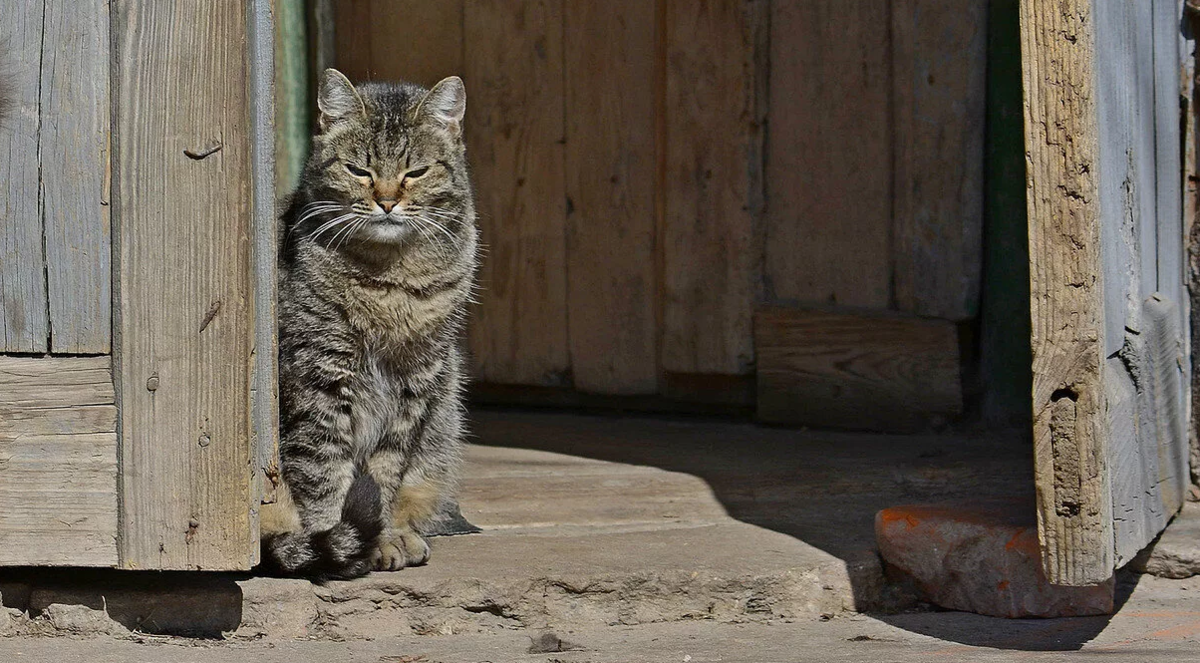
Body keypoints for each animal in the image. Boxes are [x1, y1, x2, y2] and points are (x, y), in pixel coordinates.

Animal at [265, 68, 480, 581]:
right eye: (359, 170)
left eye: (415, 172)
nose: (385, 201)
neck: (388, 284)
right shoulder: (318, 379)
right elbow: (323, 476)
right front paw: (336, 542)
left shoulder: (415, 383)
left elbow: (384, 474)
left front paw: (383, 538)